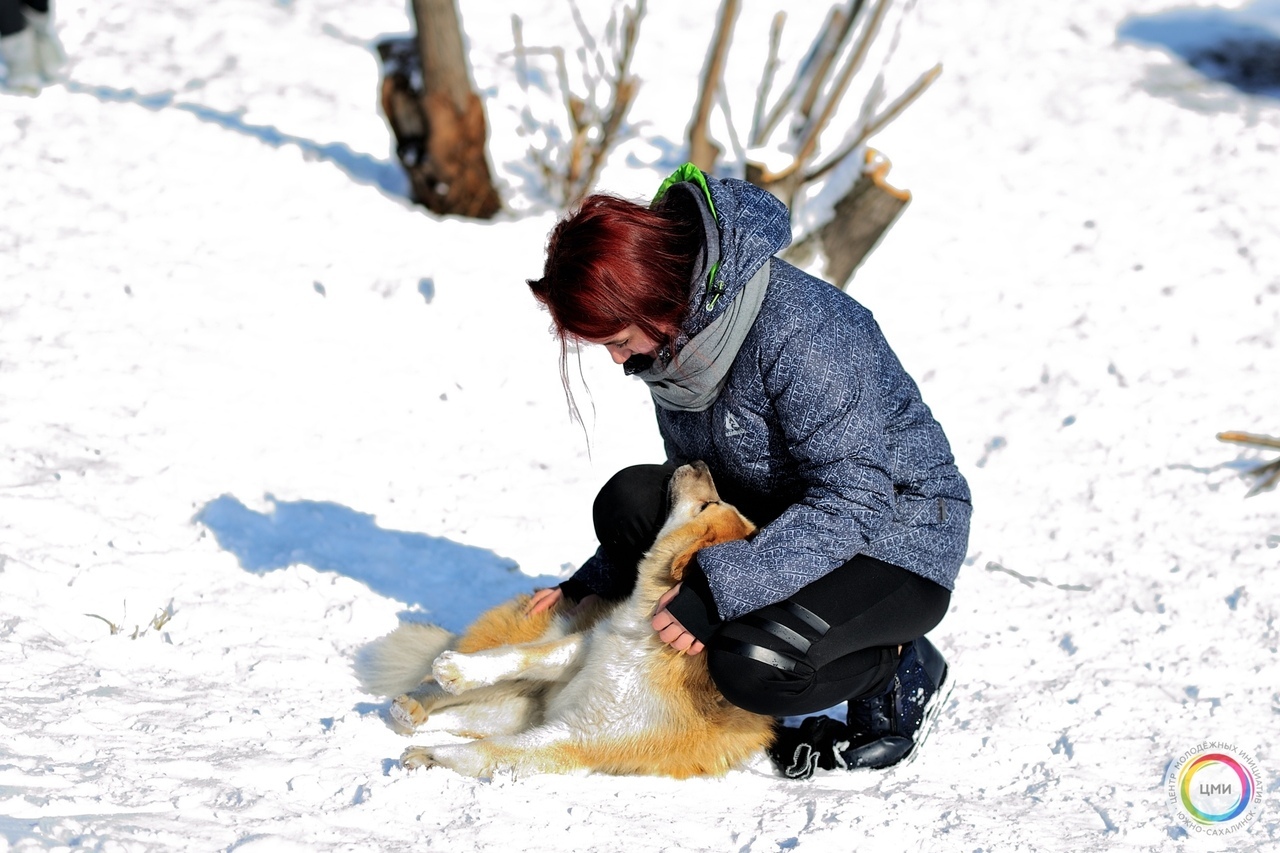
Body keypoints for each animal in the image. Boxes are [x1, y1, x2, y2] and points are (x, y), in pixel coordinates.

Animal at [353, 461, 768, 773]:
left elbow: (493, 750)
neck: (646, 639)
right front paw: (462, 670)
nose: (700, 463)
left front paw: (434, 756)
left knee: (465, 721)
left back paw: (414, 719)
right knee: (451, 686)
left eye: (706, 505)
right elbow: (516, 657)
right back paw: (420, 700)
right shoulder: (586, 647)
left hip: (517, 711)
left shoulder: (578, 737)